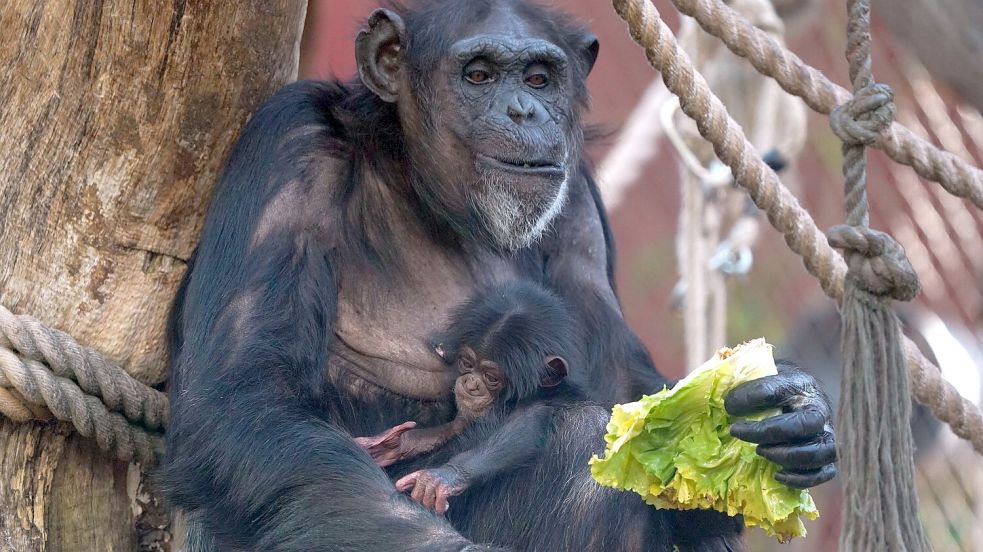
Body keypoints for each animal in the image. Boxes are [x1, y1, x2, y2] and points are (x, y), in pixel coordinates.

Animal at [356, 282, 580, 516]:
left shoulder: (540, 403)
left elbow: (524, 428)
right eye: (467, 363)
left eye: (491, 377)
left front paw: (445, 477)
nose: (471, 384)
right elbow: (457, 425)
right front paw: (397, 443)